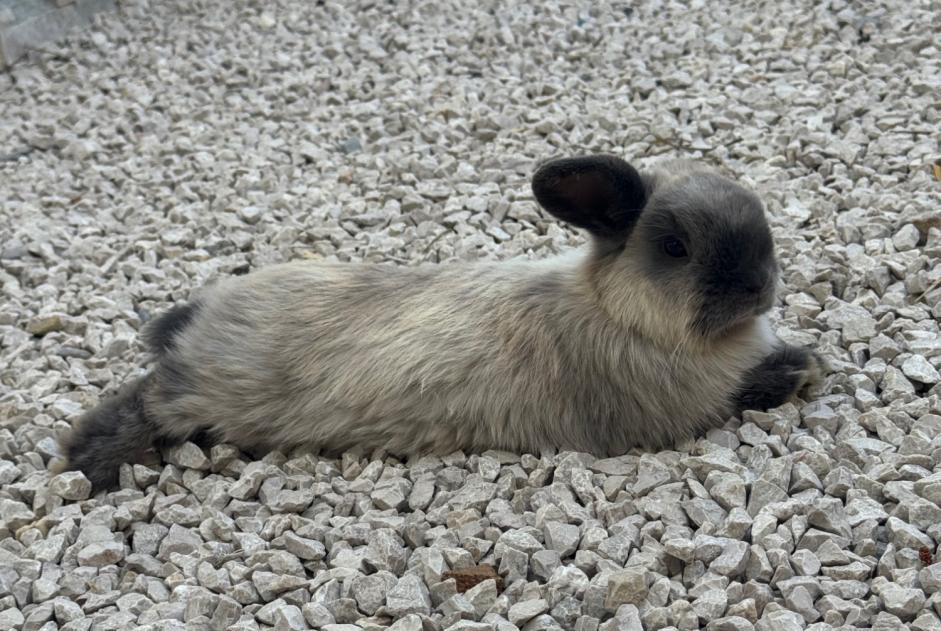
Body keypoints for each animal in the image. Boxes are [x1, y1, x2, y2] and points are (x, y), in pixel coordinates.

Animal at [57, 155, 823, 491]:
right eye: (673, 248)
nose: (758, 285)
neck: (617, 311)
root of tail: (202, 317)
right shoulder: (688, 405)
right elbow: (753, 385)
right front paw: (805, 364)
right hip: (201, 396)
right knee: (145, 400)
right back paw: (90, 463)